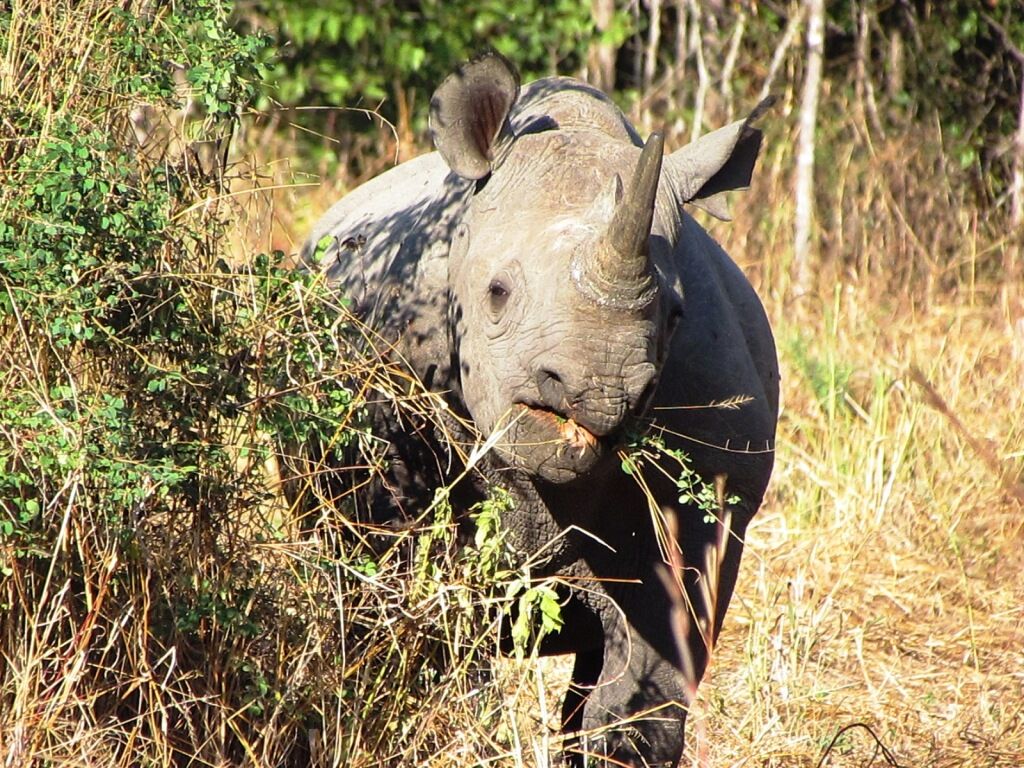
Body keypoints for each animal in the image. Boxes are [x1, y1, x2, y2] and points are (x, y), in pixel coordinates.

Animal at [301, 52, 779, 767]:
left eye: (675, 315)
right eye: (497, 292)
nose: (601, 390)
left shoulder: (710, 497)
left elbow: (642, 702)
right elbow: (435, 646)